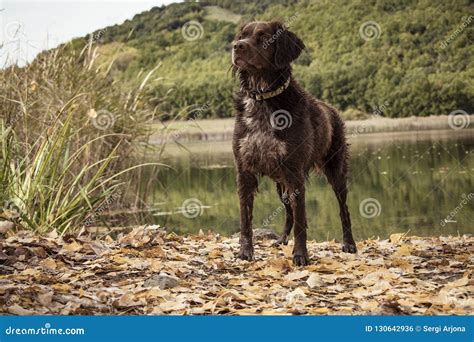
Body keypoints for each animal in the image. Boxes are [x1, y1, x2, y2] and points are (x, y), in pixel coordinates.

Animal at [230, 21, 356, 266]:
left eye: (263, 37)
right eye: (242, 35)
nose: (237, 46)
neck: (263, 100)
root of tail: (332, 110)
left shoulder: (294, 173)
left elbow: (301, 221)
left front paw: (300, 255)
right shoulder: (244, 171)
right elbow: (245, 219)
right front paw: (245, 252)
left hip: (335, 172)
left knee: (343, 209)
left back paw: (349, 244)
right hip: (281, 185)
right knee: (288, 212)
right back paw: (281, 240)